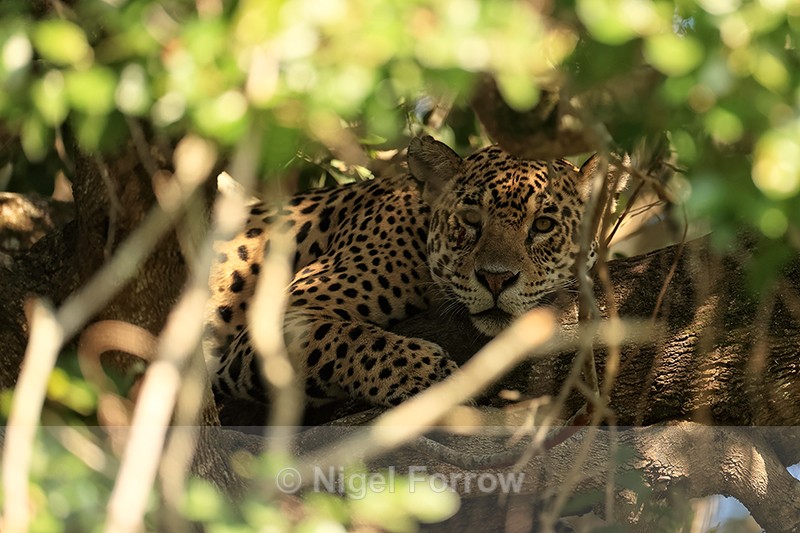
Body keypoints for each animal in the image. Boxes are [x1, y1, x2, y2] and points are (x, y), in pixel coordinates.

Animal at [204, 136, 627, 408]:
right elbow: (348, 337)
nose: (496, 279)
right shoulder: (275, 320)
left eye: (543, 225)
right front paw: (431, 377)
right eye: (471, 219)